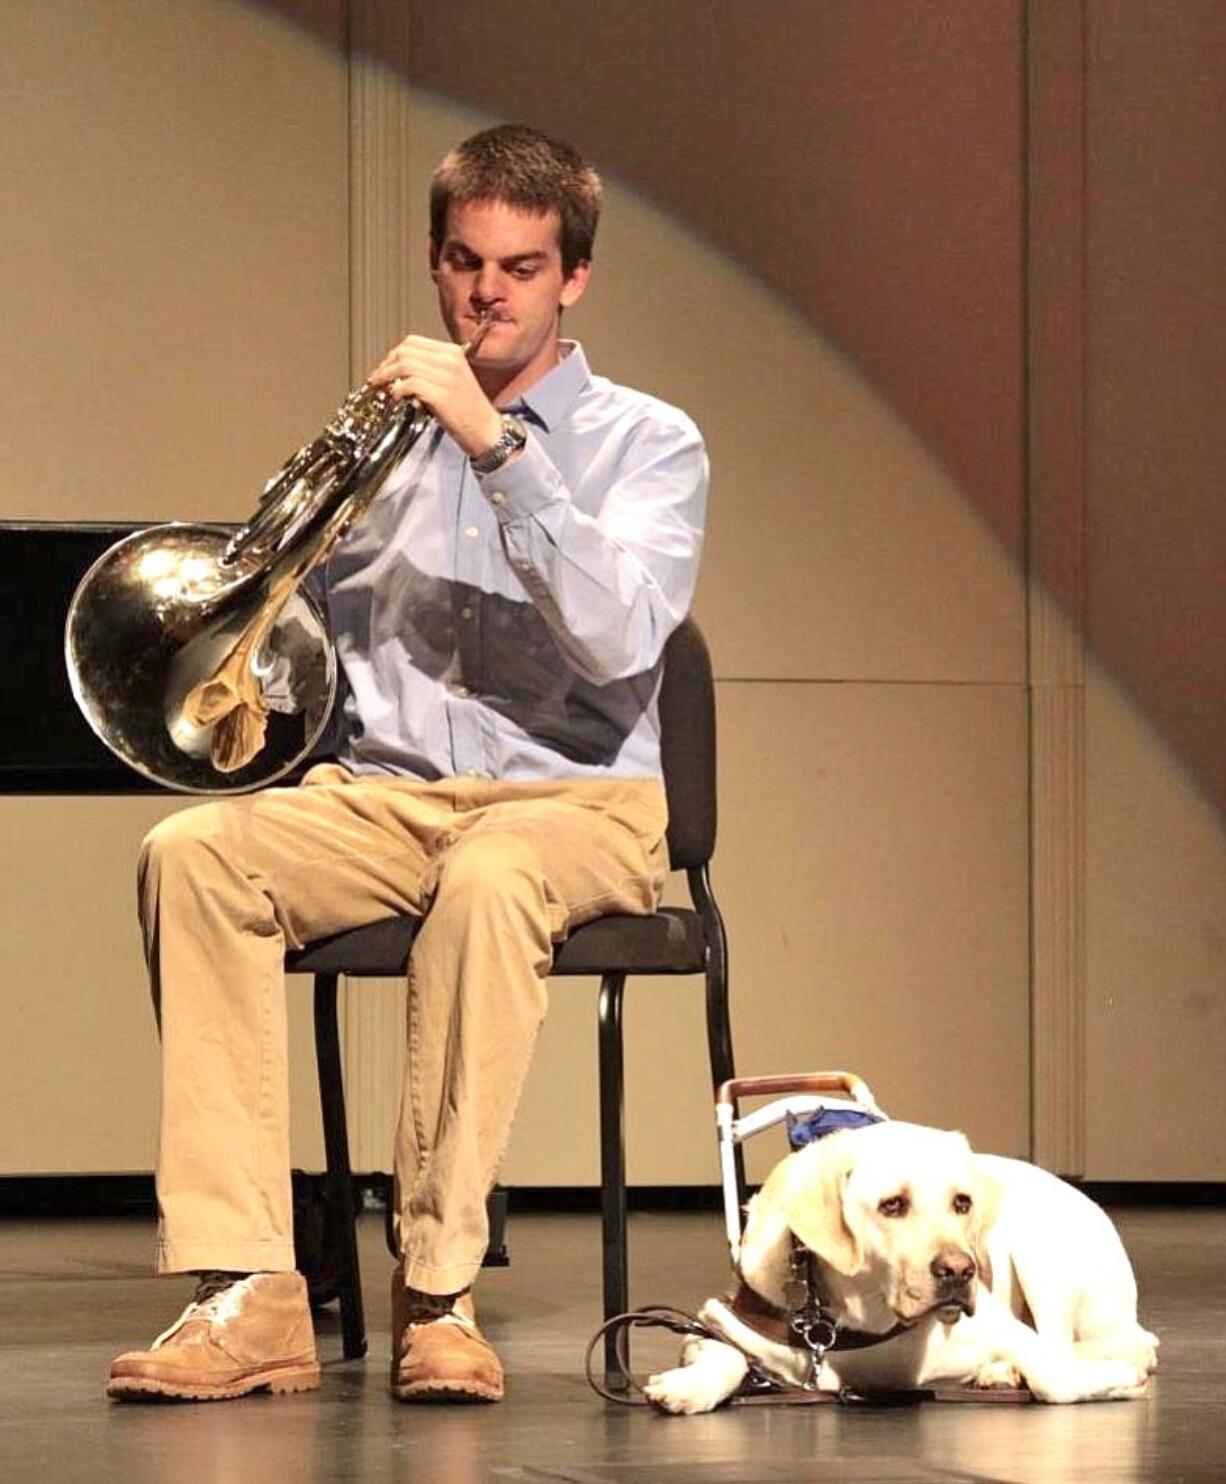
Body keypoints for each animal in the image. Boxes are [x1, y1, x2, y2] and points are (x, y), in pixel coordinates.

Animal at [641, 1121, 1157, 1412]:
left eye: (962, 1203)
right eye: (892, 1205)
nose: (960, 1270)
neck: (858, 1321)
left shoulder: (1008, 1329)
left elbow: (1055, 1376)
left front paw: (1118, 1380)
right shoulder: (713, 1324)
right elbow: (725, 1352)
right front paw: (687, 1387)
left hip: (1042, 1256)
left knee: (1125, 1345)